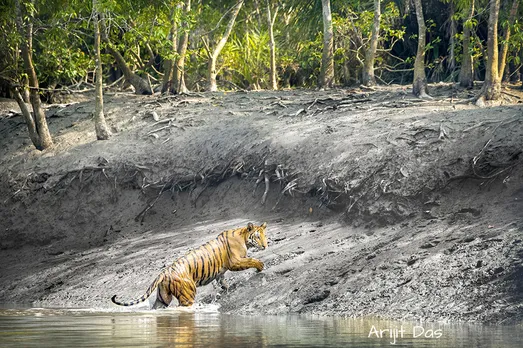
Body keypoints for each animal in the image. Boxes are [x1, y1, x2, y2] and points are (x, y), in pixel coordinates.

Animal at [109, 222, 266, 308]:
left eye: (265, 236)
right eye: (258, 237)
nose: (266, 245)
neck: (244, 237)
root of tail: (164, 272)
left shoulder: (220, 272)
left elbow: (223, 282)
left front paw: (225, 289)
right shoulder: (236, 261)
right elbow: (252, 261)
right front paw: (261, 266)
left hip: (163, 299)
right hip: (187, 294)